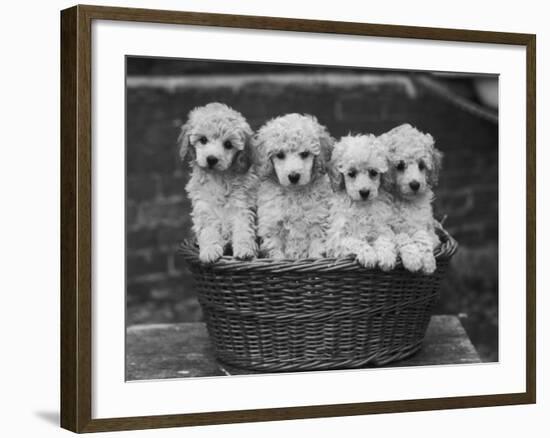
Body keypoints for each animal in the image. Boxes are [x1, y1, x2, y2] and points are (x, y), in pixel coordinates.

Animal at [180, 102, 260, 264]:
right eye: (203, 140)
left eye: (228, 144)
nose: (211, 159)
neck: (219, 178)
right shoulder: (204, 207)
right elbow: (208, 231)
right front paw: (210, 251)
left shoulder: (242, 206)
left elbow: (243, 229)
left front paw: (245, 250)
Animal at [253, 114, 332, 260]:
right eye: (280, 155)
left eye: (305, 154)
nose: (294, 176)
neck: (294, 193)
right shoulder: (272, 225)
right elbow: (276, 251)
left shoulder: (317, 222)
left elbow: (316, 248)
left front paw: (315, 258)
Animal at [326, 134, 398, 270]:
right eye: (351, 173)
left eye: (373, 172)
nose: (364, 192)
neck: (362, 207)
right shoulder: (338, 238)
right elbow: (355, 241)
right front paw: (368, 255)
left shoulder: (382, 226)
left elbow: (385, 239)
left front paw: (386, 256)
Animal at [382, 124, 446, 274]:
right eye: (400, 165)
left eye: (422, 165)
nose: (415, 184)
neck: (406, 201)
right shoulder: (388, 227)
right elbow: (402, 236)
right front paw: (413, 259)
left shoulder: (425, 225)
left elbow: (422, 236)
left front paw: (428, 262)